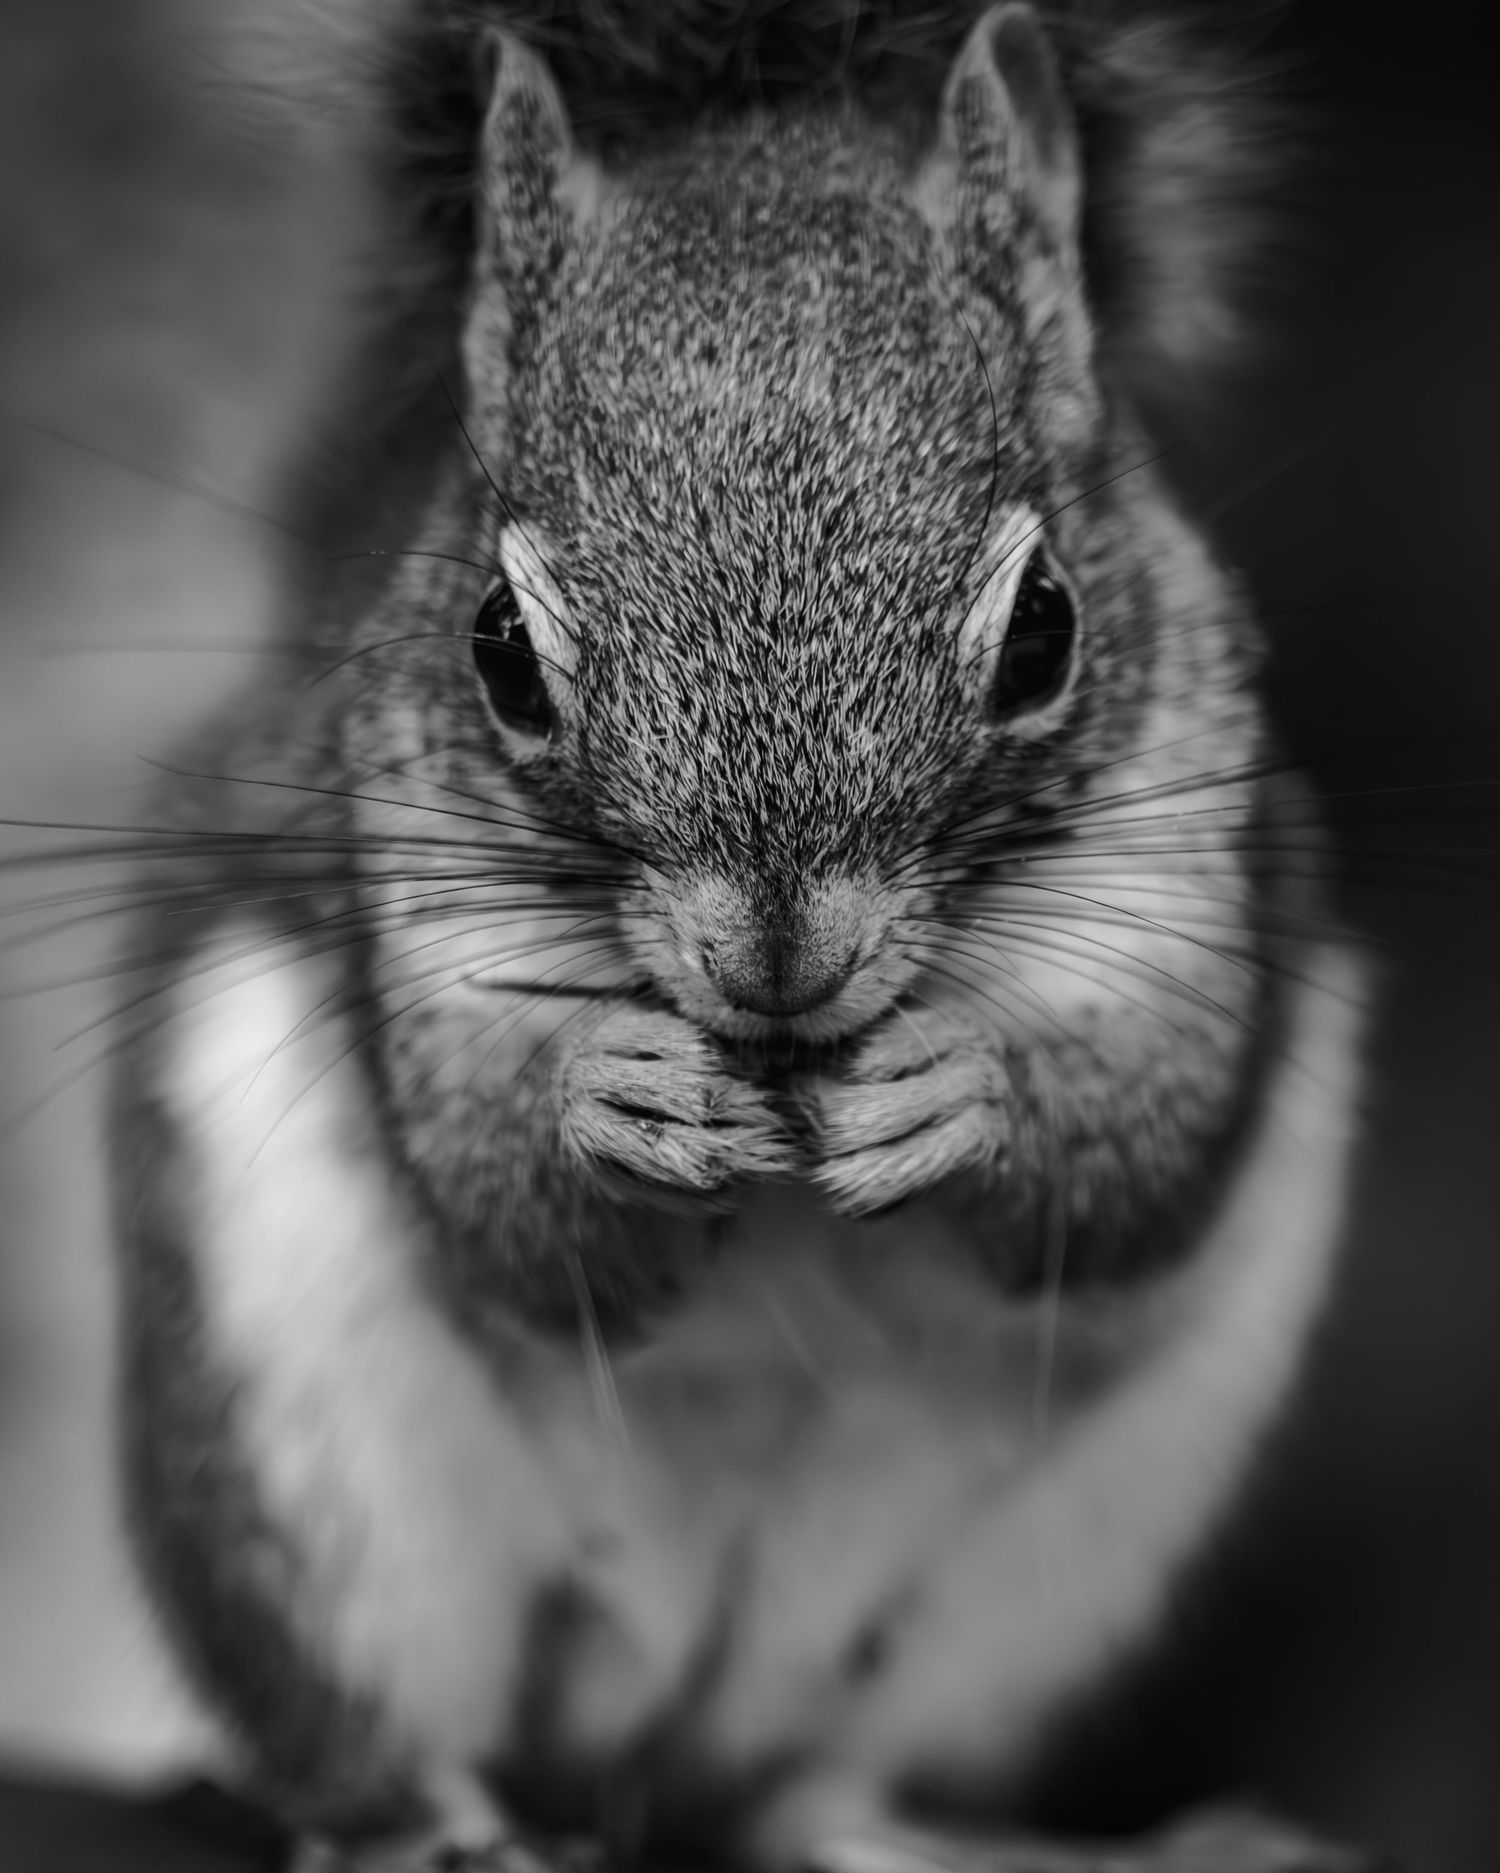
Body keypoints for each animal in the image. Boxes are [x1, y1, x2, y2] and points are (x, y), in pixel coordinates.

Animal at [108, 3, 1375, 1870]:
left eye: (1048, 631)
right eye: (498, 650)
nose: (777, 961)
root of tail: (657, 1720)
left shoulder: (1185, 878)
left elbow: (1142, 1154)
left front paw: (961, 1089)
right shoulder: (412, 889)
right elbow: (504, 1207)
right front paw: (607, 1092)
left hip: (1051, 1555)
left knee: (815, 1791)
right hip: (305, 1427)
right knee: (380, 1715)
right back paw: (424, 1820)